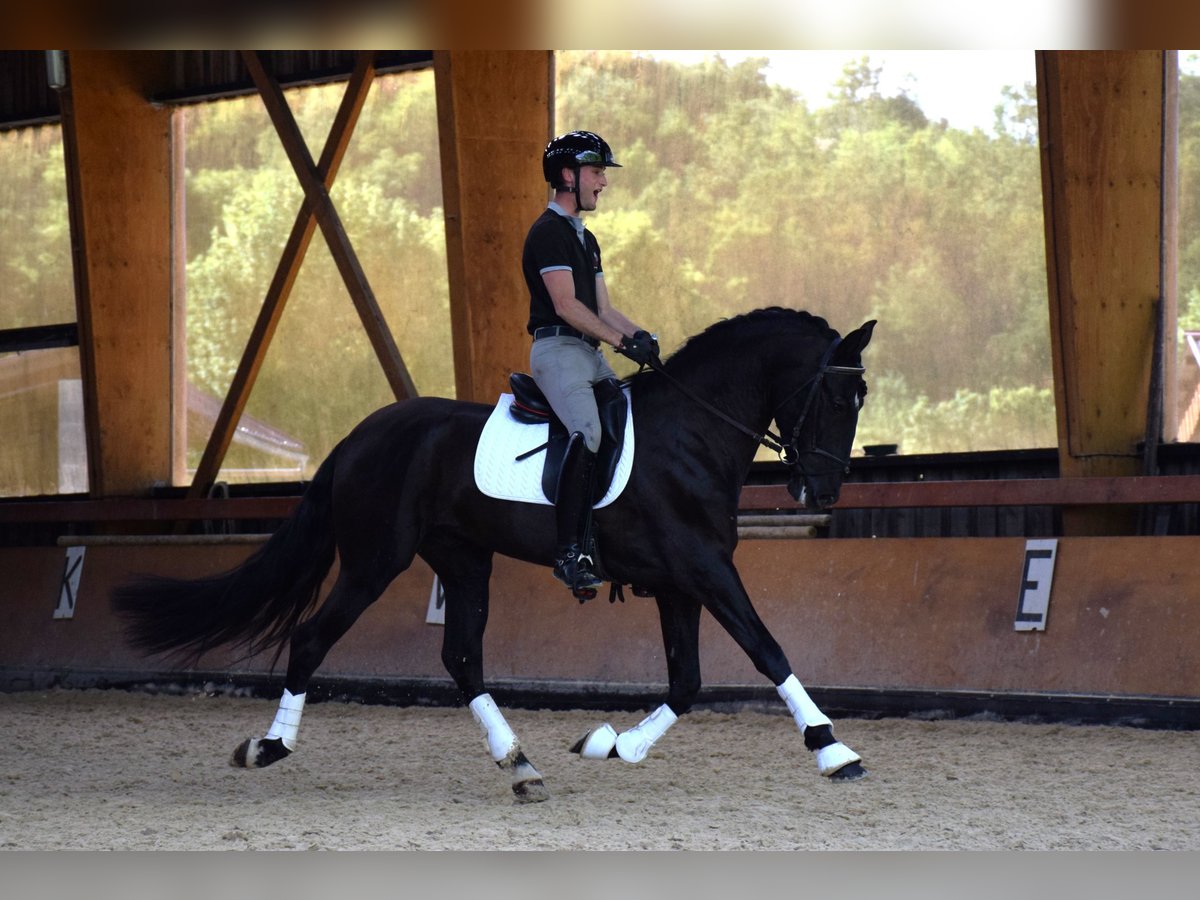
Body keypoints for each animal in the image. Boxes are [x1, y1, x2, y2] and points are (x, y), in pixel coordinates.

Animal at [112, 309, 878, 801]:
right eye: (839, 395)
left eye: (860, 396)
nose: (821, 489)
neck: (690, 432)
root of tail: (360, 435)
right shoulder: (705, 570)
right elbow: (767, 651)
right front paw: (833, 749)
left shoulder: (679, 582)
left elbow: (687, 681)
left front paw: (613, 744)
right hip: (374, 561)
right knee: (312, 638)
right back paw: (269, 746)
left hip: (462, 560)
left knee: (462, 658)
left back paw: (521, 765)